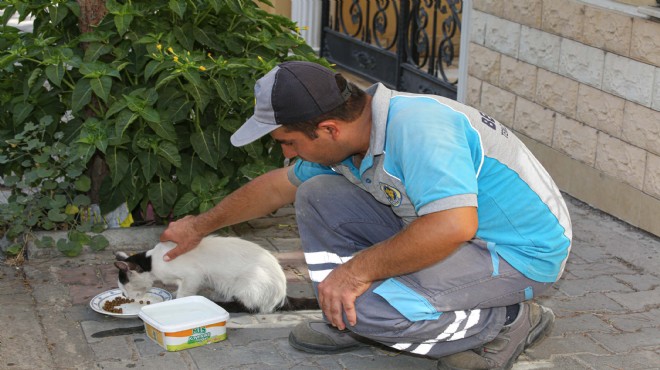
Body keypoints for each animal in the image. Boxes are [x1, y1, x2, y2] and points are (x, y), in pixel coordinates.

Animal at [113, 234, 318, 312]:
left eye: (124, 290)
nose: (127, 297)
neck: (152, 261)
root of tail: (282, 295)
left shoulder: (193, 276)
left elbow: (183, 293)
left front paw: (178, 301)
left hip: (246, 282)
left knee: (249, 307)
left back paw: (222, 303)